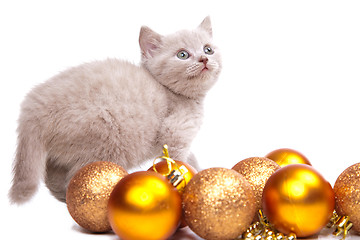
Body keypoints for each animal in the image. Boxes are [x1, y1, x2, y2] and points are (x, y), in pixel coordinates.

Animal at [9, 16, 222, 203]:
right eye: (182, 54)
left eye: (208, 49)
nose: (204, 59)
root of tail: (33, 107)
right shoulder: (175, 134)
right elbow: (179, 162)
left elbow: (190, 160)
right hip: (107, 137)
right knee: (80, 180)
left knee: (53, 175)